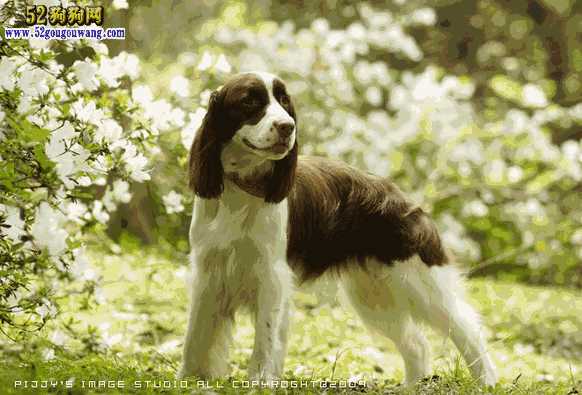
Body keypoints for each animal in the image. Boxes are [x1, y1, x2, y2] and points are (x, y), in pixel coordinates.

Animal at [179, 71, 498, 386]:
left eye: (284, 101)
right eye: (249, 101)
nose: (287, 126)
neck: (242, 189)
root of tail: (402, 196)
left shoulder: (270, 276)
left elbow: (265, 340)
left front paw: (261, 382)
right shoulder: (208, 272)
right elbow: (195, 336)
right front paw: (189, 378)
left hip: (419, 281)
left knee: (468, 329)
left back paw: (487, 380)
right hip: (373, 295)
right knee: (417, 344)